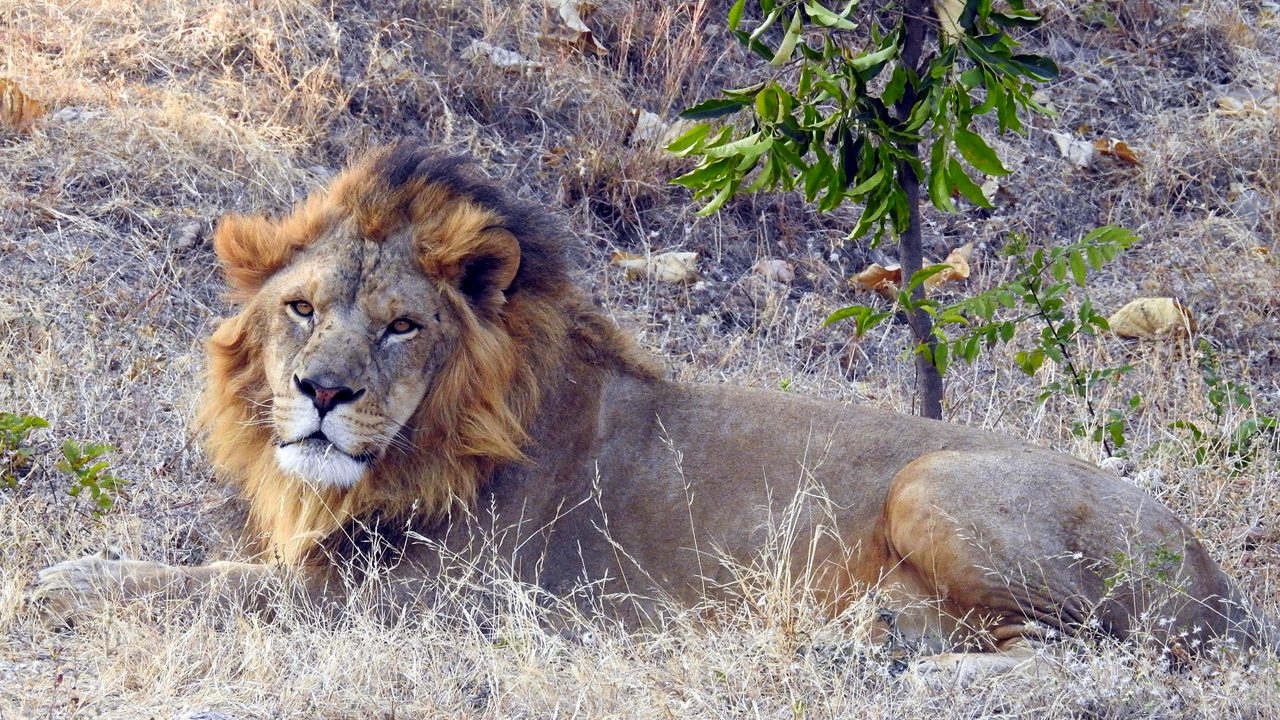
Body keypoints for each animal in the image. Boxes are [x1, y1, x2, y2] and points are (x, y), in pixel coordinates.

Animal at [30, 141, 1269, 676]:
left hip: (936, 484)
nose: (321, 394)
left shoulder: (411, 605)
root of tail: (1215, 573)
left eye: (400, 326)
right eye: (298, 309)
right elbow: (203, 558)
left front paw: (60, 584)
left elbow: (209, 587)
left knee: (1079, 658)